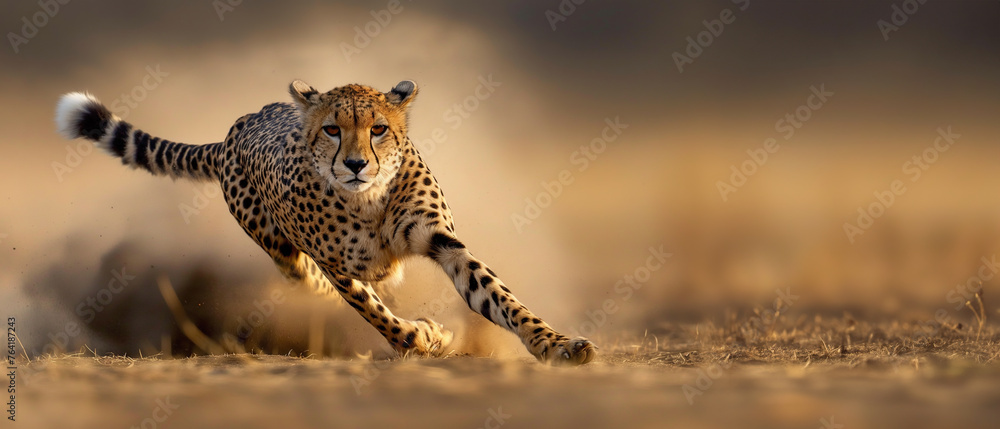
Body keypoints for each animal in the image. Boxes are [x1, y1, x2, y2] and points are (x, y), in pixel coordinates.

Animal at [54, 80, 596, 365]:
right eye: (332, 130)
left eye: (378, 129)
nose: (355, 164)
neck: (370, 199)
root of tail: (237, 126)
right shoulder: (339, 267)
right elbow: (377, 315)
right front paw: (421, 337)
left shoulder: (443, 241)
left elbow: (500, 298)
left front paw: (556, 345)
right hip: (283, 251)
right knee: (311, 281)